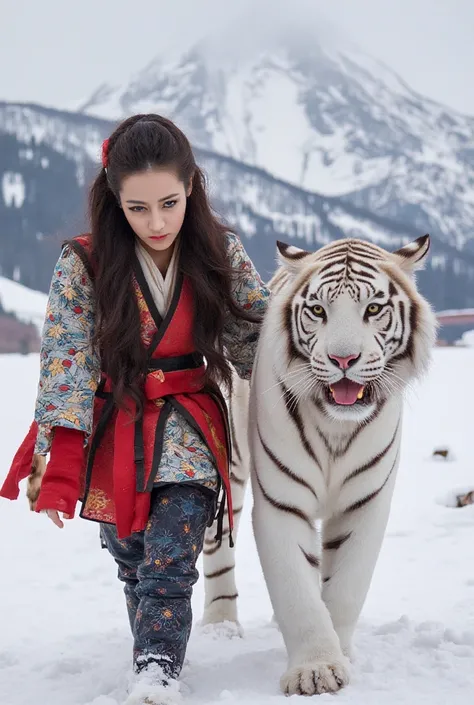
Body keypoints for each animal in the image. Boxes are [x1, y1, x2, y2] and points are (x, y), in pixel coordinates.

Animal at [200, 235, 436, 692]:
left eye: (373, 309)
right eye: (318, 311)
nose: (344, 360)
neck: (336, 427)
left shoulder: (364, 504)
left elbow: (344, 589)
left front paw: (338, 656)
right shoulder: (280, 503)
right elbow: (297, 591)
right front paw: (315, 670)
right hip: (230, 465)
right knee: (218, 544)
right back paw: (220, 626)